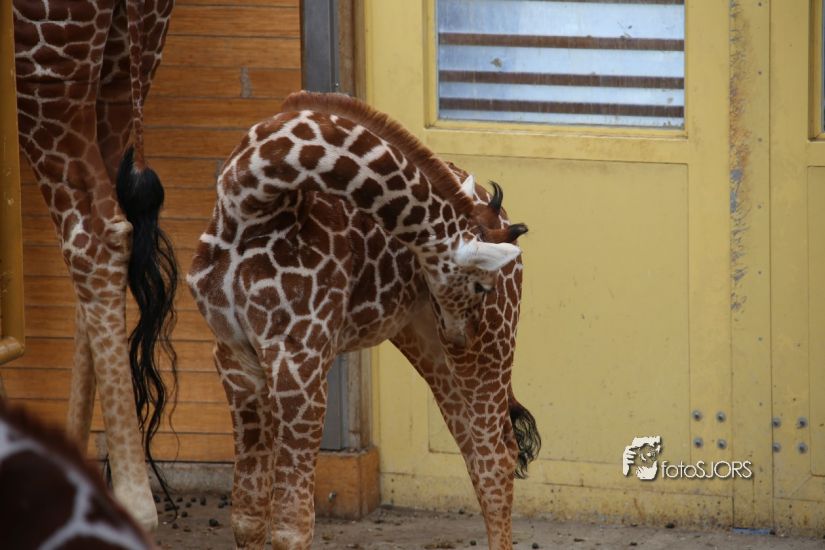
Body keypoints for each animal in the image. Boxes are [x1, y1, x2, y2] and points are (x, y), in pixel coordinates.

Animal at [187, 91, 541, 549]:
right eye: (482, 286)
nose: (465, 335)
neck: (250, 204)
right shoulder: (233, 358)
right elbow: (247, 516)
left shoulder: (300, 359)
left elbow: (292, 526)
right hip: (426, 341)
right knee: (476, 449)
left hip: (493, 346)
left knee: (496, 454)